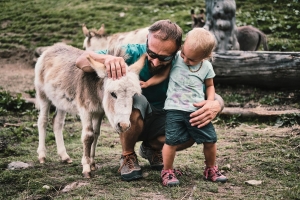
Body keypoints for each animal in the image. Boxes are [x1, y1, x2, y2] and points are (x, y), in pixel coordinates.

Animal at [35, 43, 146, 177]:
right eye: (113, 94)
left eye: (133, 95)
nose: (124, 126)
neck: (96, 90)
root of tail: (52, 47)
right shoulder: (85, 110)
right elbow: (88, 136)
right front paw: (86, 167)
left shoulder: (99, 111)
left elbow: (96, 133)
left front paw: (92, 163)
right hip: (43, 95)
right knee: (43, 121)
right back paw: (42, 155)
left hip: (61, 101)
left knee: (57, 123)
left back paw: (64, 156)